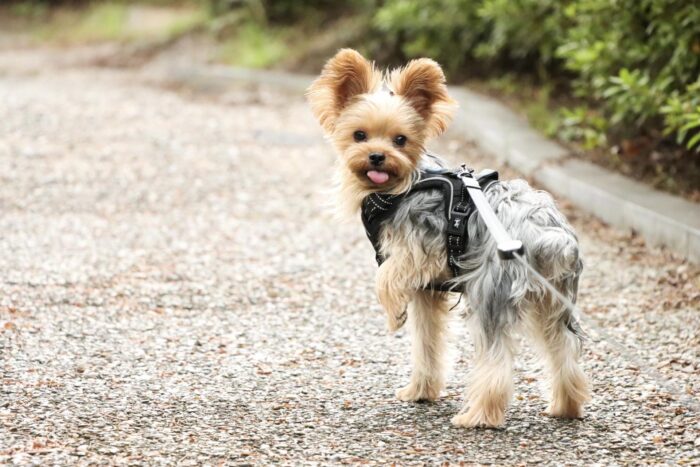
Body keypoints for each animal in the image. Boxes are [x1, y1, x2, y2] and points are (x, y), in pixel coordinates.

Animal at [304, 50, 588, 428]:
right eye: (359, 135)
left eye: (400, 140)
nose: (377, 156)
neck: (402, 184)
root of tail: (547, 232)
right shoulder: (427, 290)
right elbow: (427, 342)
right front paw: (420, 392)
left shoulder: (420, 253)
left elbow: (386, 277)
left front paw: (393, 314)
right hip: (552, 299)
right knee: (564, 349)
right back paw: (565, 407)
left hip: (490, 290)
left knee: (496, 359)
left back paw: (479, 416)